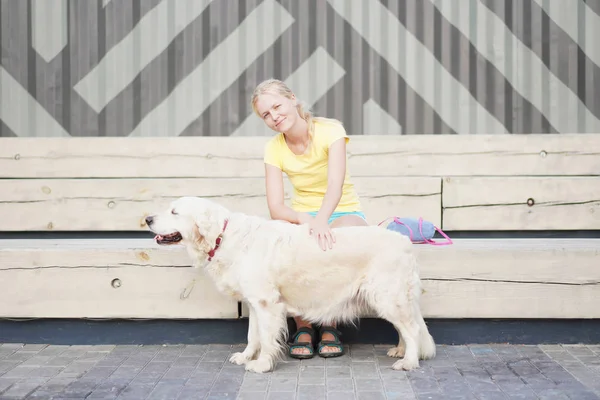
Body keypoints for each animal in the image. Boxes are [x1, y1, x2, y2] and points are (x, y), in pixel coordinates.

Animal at [145, 196, 436, 372]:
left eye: (174, 211)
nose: (147, 219)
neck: (222, 236)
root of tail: (405, 241)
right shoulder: (255, 302)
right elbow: (252, 335)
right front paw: (246, 356)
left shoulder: (266, 303)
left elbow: (265, 337)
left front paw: (261, 365)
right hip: (390, 298)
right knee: (406, 329)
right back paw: (400, 351)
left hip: (387, 296)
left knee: (411, 329)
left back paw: (409, 361)